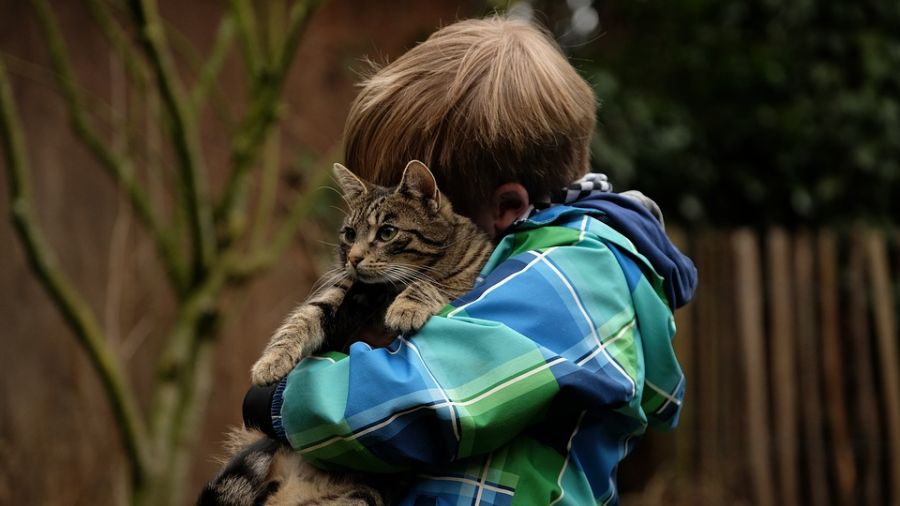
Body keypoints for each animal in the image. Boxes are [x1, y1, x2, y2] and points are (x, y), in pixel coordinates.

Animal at [199, 161, 492, 506]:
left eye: (387, 232)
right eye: (350, 234)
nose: (353, 258)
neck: (384, 291)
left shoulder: (463, 281)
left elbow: (432, 284)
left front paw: (407, 307)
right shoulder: (339, 292)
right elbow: (301, 320)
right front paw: (270, 362)